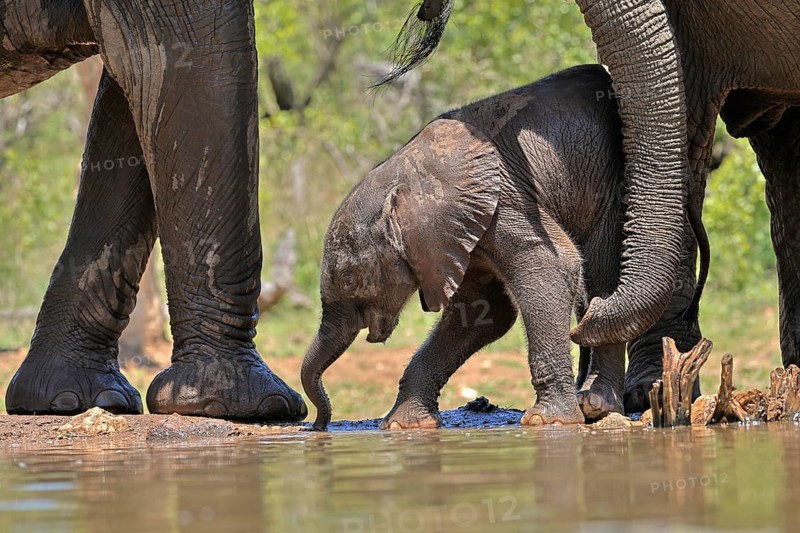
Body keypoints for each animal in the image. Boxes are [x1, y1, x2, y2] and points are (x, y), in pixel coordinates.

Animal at [301, 65, 708, 430]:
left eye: (350, 280)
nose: (317, 426)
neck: (402, 176)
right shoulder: (458, 235)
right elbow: (483, 312)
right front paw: (404, 425)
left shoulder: (506, 204)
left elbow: (550, 271)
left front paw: (548, 421)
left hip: (613, 186)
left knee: (604, 277)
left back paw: (595, 403)